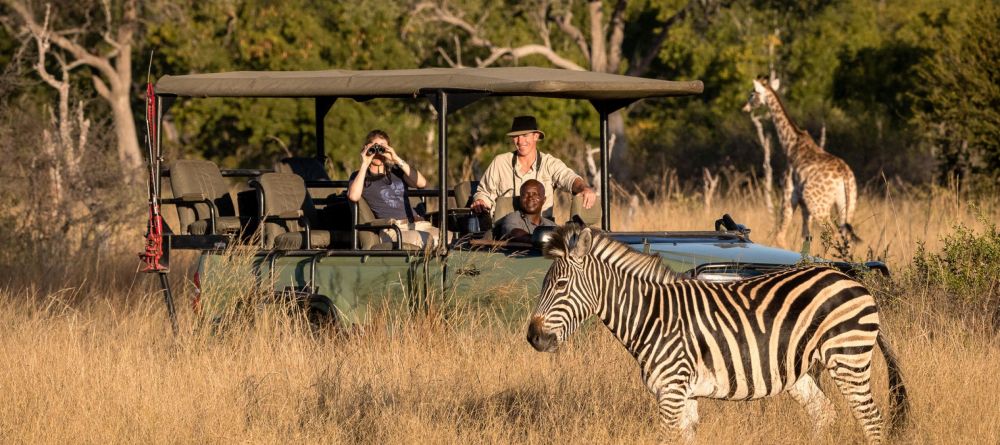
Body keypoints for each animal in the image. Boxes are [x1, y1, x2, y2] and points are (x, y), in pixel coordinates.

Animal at [528, 224, 912, 442]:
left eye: (560, 285)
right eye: (544, 284)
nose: (533, 337)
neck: (654, 317)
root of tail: (854, 281)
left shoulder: (671, 391)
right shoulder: (684, 395)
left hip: (848, 359)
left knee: (872, 422)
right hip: (801, 372)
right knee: (824, 414)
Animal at [744, 75, 860, 246]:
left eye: (752, 94)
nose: (745, 107)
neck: (790, 143)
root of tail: (845, 175)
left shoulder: (789, 195)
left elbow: (780, 235)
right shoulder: (805, 207)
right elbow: (806, 237)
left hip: (819, 206)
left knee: (833, 234)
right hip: (847, 204)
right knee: (846, 237)